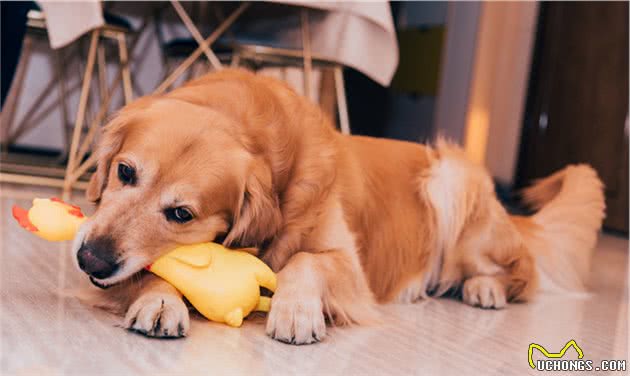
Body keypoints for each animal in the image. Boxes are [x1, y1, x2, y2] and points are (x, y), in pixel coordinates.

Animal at [73, 69, 608, 346]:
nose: (89, 259)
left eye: (181, 214)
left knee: (521, 274)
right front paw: (159, 299)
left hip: (452, 181)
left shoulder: (350, 267)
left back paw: (483, 288)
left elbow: (307, 260)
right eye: (125, 172)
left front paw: (295, 309)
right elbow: (151, 272)